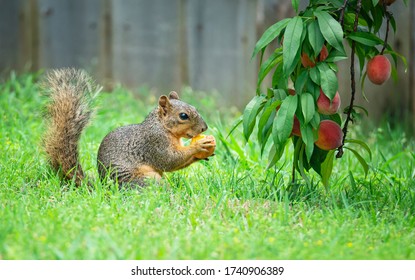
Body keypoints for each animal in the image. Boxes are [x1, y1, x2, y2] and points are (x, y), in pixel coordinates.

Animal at [42, 67, 216, 186]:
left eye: (194, 107)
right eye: (183, 116)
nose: (204, 128)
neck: (162, 126)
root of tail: (105, 188)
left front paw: (203, 153)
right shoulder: (154, 143)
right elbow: (169, 160)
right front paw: (199, 146)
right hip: (146, 179)